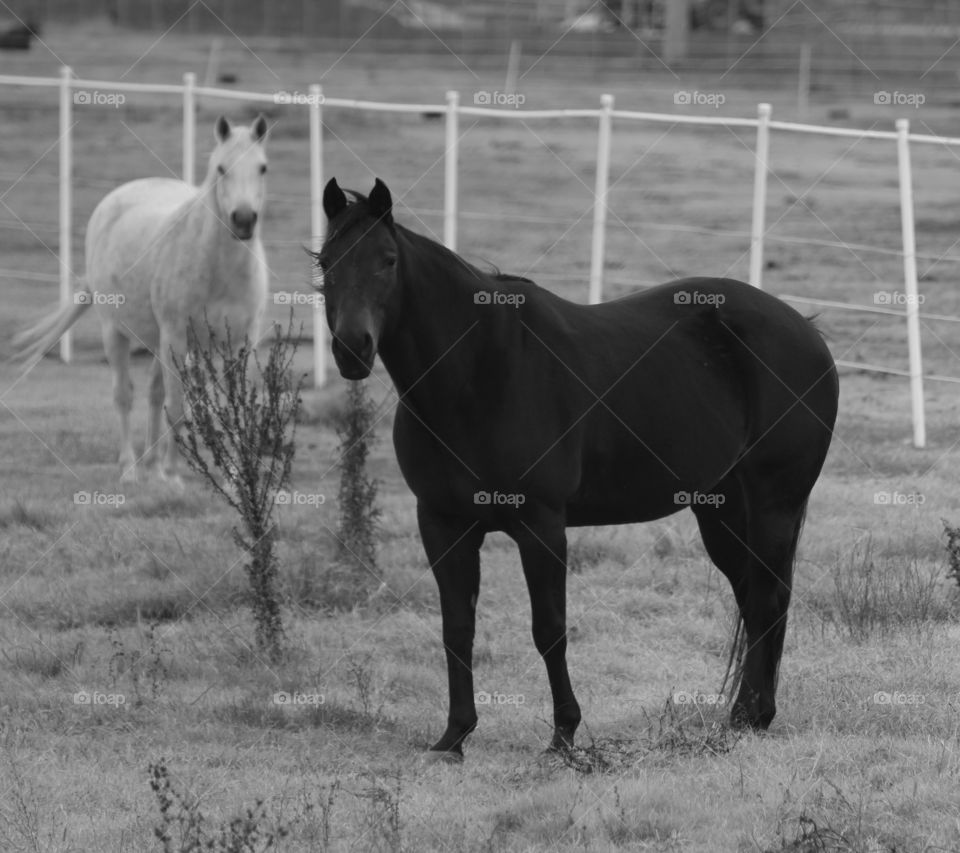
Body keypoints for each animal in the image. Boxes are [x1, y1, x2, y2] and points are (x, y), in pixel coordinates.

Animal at [12, 115, 270, 486]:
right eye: (221, 169)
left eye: (262, 168)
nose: (244, 219)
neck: (220, 268)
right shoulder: (176, 336)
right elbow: (176, 408)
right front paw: (173, 476)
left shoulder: (241, 342)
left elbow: (235, 407)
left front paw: (236, 477)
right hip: (116, 333)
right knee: (124, 395)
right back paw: (131, 469)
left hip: (158, 341)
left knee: (153, 392)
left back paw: (151, 465)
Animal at [315, 176, 839, 762]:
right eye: (325, 262)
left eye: (387, 261)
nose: (351, 348)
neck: (479, 374)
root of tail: (806, 331)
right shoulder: (443, 525)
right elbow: (457, 629)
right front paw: (454, 735)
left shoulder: (541, 526)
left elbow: (550, 630)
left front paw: (564, 735)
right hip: (721, 511)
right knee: (753, 599)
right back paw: (745, 715)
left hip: (774, 504)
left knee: (768, 598)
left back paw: (753, 717)